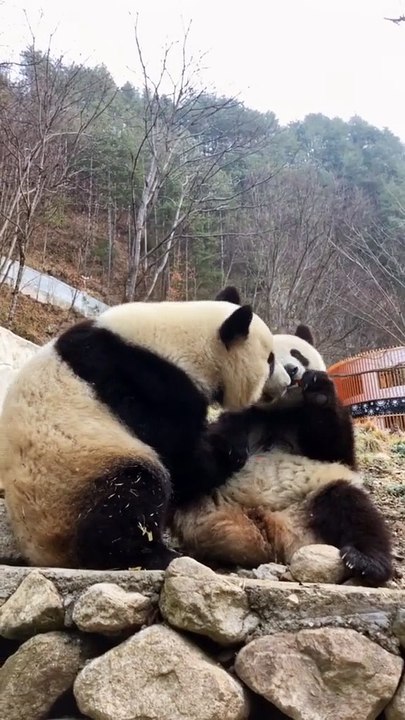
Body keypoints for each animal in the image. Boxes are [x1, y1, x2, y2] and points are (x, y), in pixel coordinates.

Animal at [0, 292, 284, 571]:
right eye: (270, 359)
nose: (288, 379)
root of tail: (42, 554)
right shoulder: (145, 382)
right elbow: (181, 458)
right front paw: (229, 452)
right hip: (76, 477)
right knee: (131, 495)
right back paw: (152, 555)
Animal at [172, 295, 393, 586]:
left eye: (298, 354)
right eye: (270, 359)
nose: (292, 369)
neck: (278, 412)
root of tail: (267, 529)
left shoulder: (312, 428)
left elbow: (336, 448)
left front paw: (318, 390)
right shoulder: (242, 417)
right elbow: (216, 440)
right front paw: (232, 450)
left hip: (311, 502)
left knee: (352, 507)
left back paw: (366, 562)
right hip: (210, 498)